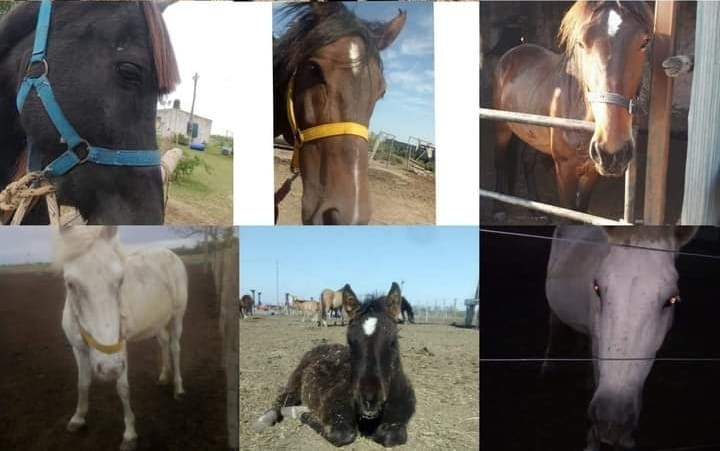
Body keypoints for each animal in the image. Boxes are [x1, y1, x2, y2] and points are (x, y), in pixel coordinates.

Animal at [56, 226, 188, 451]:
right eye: (70, 284)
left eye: (120, 281)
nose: (109, 368)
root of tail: (169, 253)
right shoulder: (78, 348)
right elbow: (82, 383)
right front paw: (78, 419)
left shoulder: (120, 347)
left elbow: (123, 389)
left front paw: (129, 434)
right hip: (159, 322)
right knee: (163, 343)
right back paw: (164, 376)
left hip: (176, 318)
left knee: (175, 348)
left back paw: (178, 389)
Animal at [254, 283, 415, 447]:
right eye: (350, 342)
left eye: (393, 341)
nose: (369, 401)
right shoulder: (334, 405)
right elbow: (341, 435)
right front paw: (304, 414)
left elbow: (392, 436)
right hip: (295, 381)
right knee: (282, 400)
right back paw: (267, 419)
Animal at [492, 1, 652, 218]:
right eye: (581, 43)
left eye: (644, 42)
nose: (613, 151)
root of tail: (512, 52)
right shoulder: (564, 169)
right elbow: (569, 211)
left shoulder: (592, 170)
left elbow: (581, 210)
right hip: (502, 128)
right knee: (500, 161)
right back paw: (499, 209)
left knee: (527, 161)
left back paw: (535, 207)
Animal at [544, 225, 696, 450]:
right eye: (597, 288)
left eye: (671, 300)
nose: (611, 422)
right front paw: (593, 442)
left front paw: (625, 439)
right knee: (554, 327)